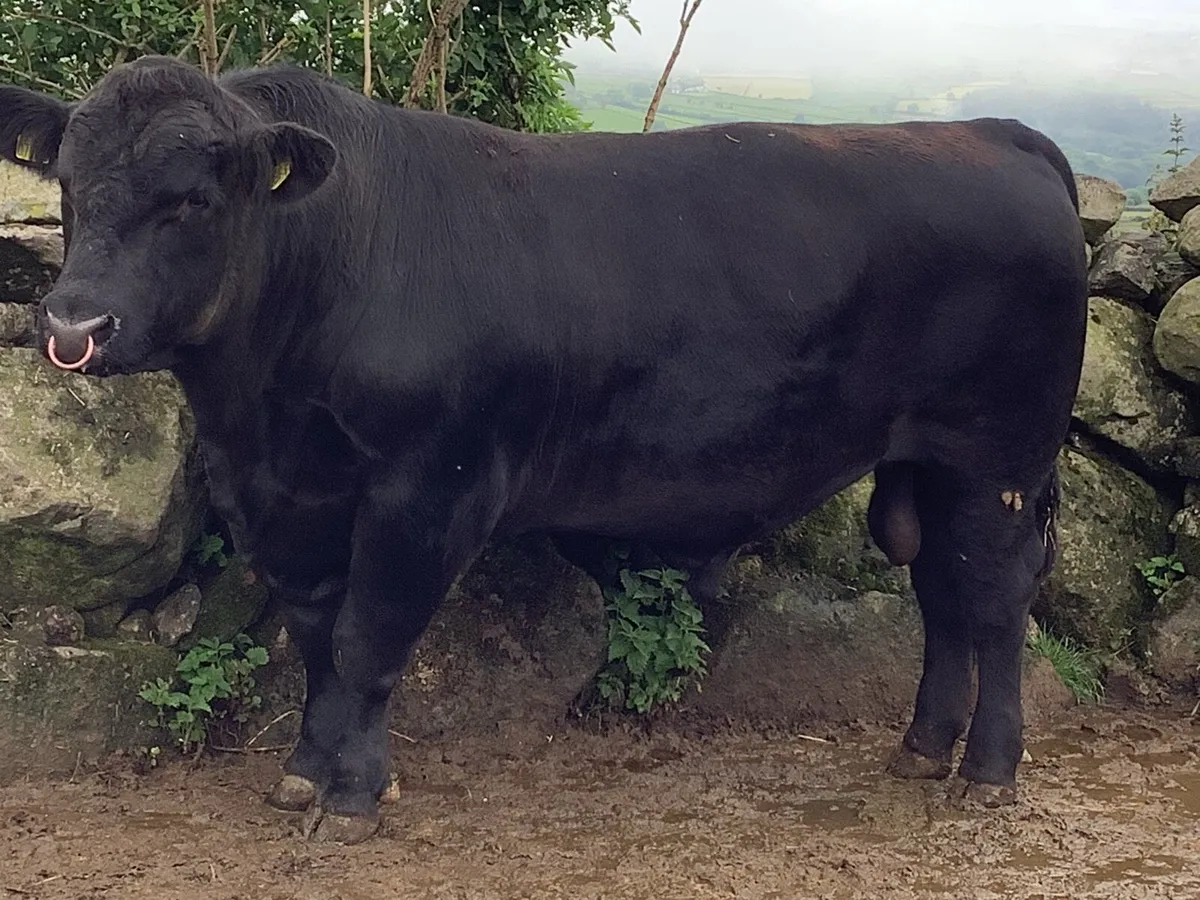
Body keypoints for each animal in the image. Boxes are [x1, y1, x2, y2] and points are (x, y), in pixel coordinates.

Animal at [0, 56, 1087, 844]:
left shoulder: (428, 487)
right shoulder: (287, 497)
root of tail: (998, 133)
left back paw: (987, 772)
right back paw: (922, 747)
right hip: (933, 464)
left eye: (191, 200)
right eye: (67, 187)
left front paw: (354, 797)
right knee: (944, 598)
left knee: (994, 605)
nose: (72, 325)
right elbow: (314, 639)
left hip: (998, 459)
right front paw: (305, 772)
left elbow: (366, 639)